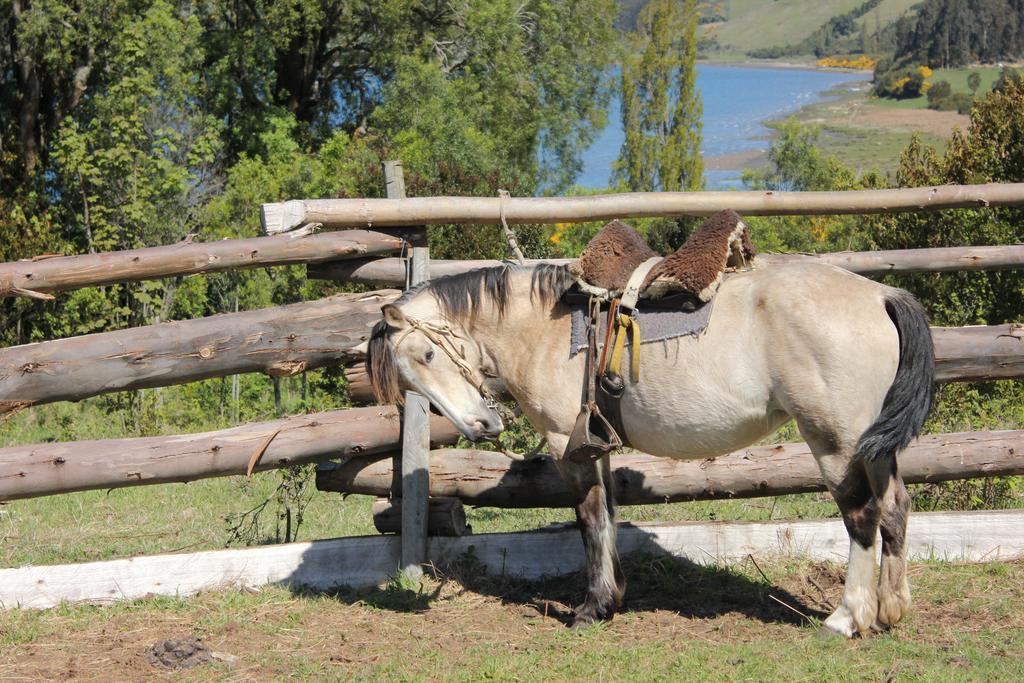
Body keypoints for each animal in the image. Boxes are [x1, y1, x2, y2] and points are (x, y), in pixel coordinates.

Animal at [366, 259, 937, 638]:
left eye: (427, 353)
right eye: (408, 376)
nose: (481, 426)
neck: (541, 329)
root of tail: (880, 294)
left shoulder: (567, 442)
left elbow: (590, 518)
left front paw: (592, 608)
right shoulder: (595, 444)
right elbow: (609, 515)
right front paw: (613, 597)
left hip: (835, 443)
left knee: (862, 518)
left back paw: (846, 617)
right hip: (872, 445)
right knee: (895, 509)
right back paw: (890, 609)